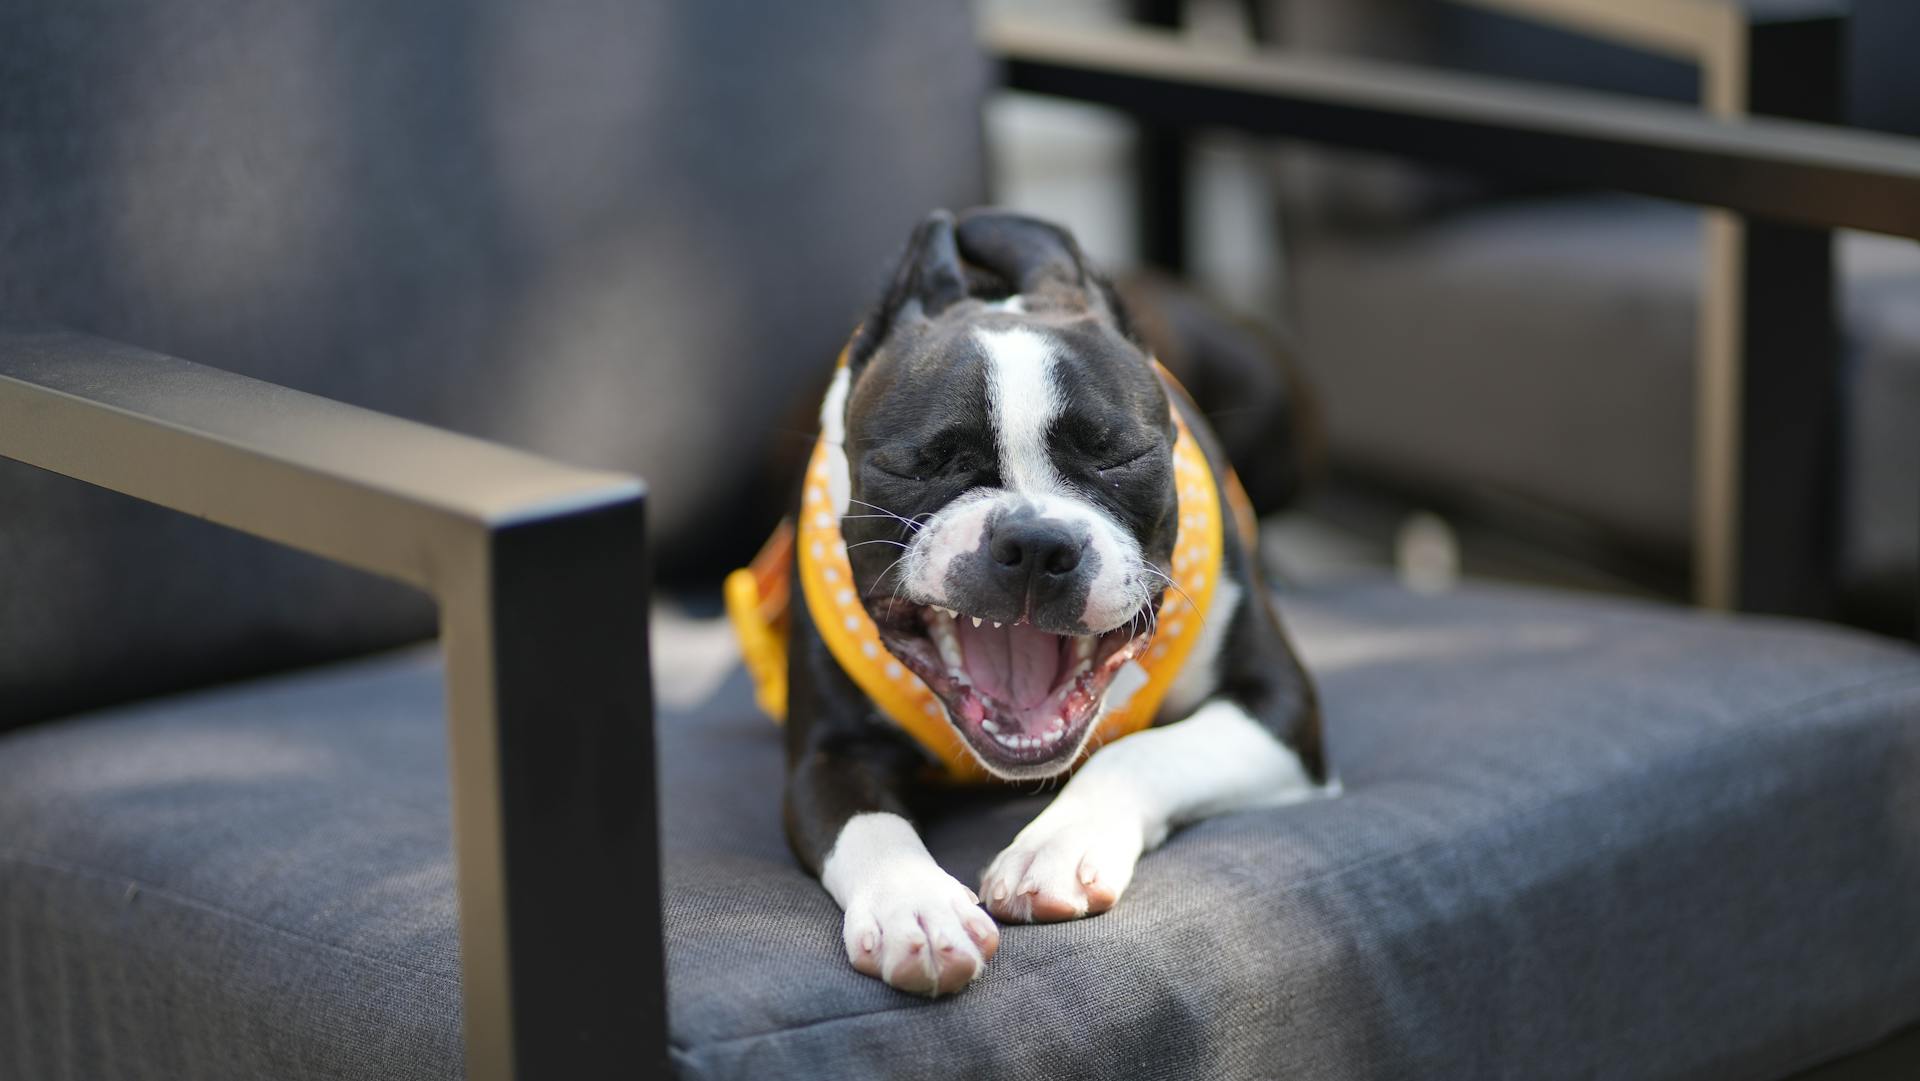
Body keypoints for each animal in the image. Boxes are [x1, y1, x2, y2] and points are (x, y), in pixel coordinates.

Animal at [771, 209, 1328, 998]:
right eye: (918, 466)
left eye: (1121, 457)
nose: (1034, 542)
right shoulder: (827, 755)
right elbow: (867, 824)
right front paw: (916, 905)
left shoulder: (1280, 709)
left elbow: (1140, 751)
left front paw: (1058, 845)